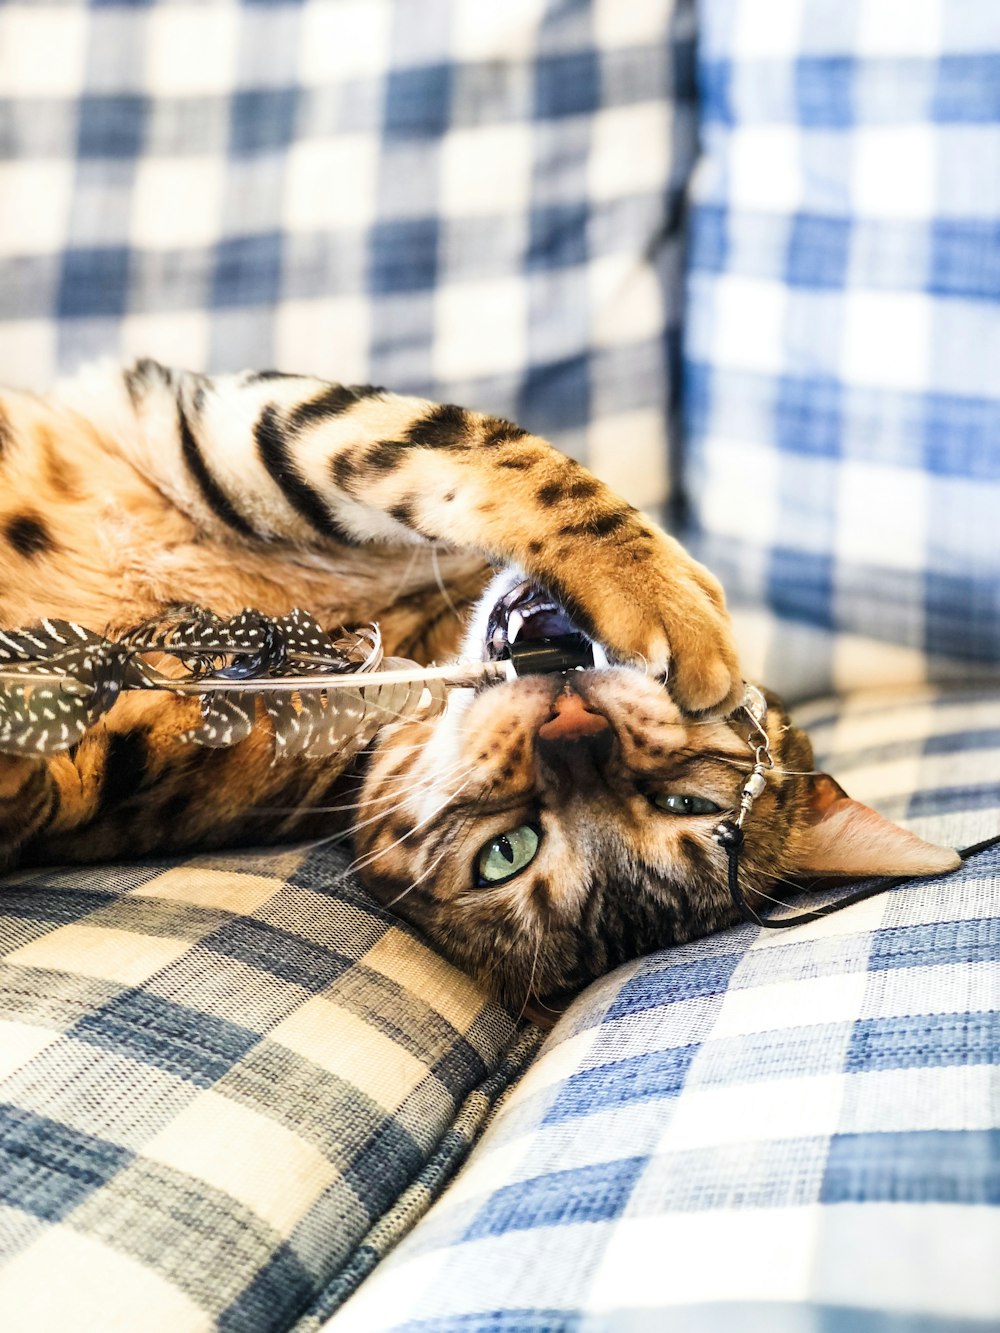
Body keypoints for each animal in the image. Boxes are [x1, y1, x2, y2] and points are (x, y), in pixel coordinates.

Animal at [0, 362, 954, 1007]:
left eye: (507, 851)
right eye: (687, 803)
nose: (573, 731)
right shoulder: (246, 427)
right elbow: (477, 446)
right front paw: (660, 593)